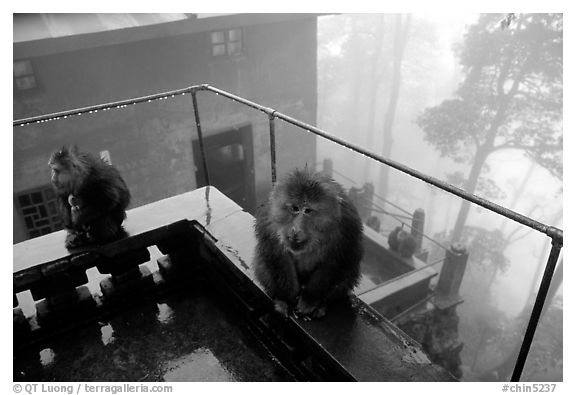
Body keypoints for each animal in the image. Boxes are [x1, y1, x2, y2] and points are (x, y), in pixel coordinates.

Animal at [253, 169, 362, 320]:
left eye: (308, 211)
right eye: (295, 208)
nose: (295, 229)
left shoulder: (347, 226)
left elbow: (335, 263)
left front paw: (309, 300)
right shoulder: (269, 220)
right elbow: (277, 256)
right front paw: (287, 297)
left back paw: (322, 304)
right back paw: (280, 299)